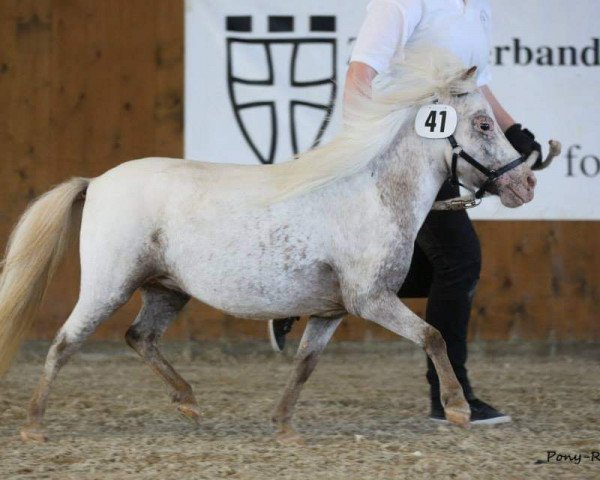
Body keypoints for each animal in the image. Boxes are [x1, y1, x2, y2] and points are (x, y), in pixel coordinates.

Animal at [0, 48, 540, 442]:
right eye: (483, 124)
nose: (525, 185)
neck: (373, 195)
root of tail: (97, 181)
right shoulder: (370, 300)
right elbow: (434, 335)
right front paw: (457, 409)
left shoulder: (331, 310)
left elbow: (305, 365)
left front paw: (283, 427)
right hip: (108, 285)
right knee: (66, 342)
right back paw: (33, 426)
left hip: (167, 289)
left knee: (140, 338)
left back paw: (189, 403)